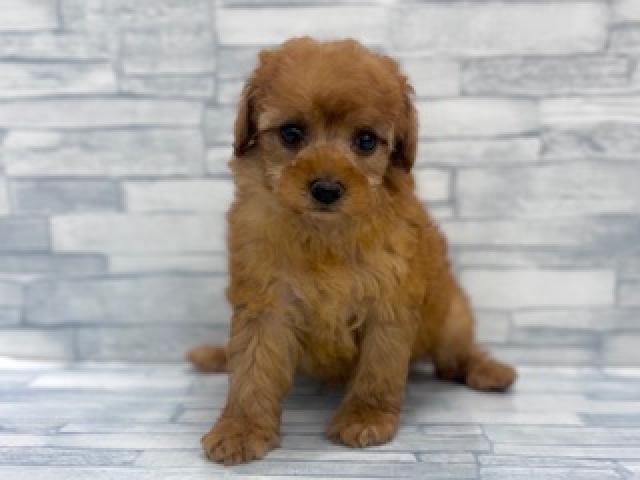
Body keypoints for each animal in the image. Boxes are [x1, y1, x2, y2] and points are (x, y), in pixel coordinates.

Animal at [187, 37, 516, 466]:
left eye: (365, 141)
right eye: (291, 133)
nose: (326, 189)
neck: (324, 235)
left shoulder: (389, 303)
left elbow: (378, 370)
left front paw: (366, 418)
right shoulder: (264, 302)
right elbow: (251, 369)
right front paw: (240, 429)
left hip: (451, 316)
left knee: (457, 355)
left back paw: (490, 371)